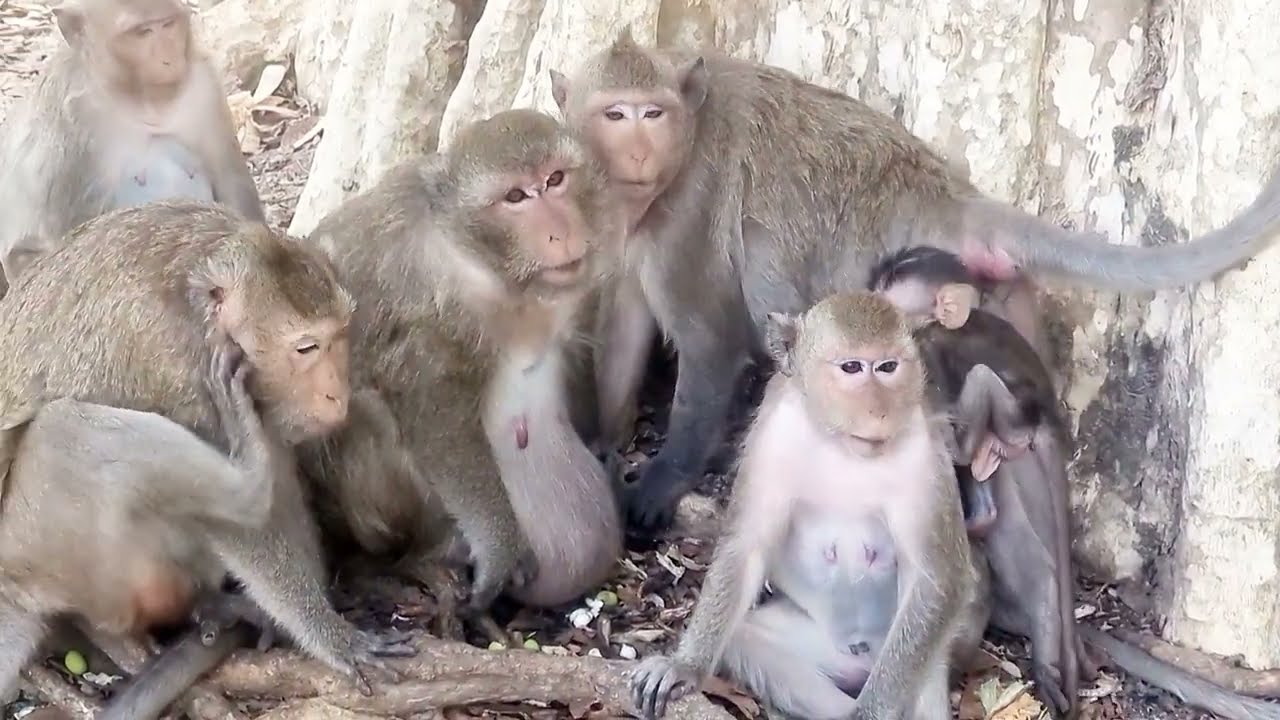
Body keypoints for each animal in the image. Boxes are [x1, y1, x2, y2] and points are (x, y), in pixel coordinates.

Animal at [0, 0, 264, 289]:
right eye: (143, 32)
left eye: (168, 24)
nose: (169, 58)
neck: (139, 100)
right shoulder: (70, 120)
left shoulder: (203, 84)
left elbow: (231, 182)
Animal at [0, 201, 415, 705]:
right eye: (306, 348)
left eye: (340, 337)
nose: (338, 395)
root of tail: (10, 588)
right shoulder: (184, 367)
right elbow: (242, 528)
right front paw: (331, 636)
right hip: (39, 544)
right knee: (67, 430)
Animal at [296, 108, 625, 612]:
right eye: (515, 197)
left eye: (555, 179)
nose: (562, 230)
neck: (484, 262)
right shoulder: (429, 299)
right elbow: (431, 408)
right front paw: (499, 550)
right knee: (366, 410)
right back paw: (419, 558)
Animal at [548, 28, 1280, 534]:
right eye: (615, 114)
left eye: (652, 113)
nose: (637, 150)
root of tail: (945, 196)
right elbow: (626, 327)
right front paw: (599, 440)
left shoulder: (689, 210)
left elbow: (708, 344)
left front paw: (659, 484)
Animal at [628, 291, 989, 720]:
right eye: (852, 367)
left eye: (888, 367)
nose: (879, 410)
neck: (842, 445)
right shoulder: (772, 433)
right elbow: (746, 546)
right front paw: (684, 666)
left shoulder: (925, 456)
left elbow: (937, 580)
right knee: (748, 639)